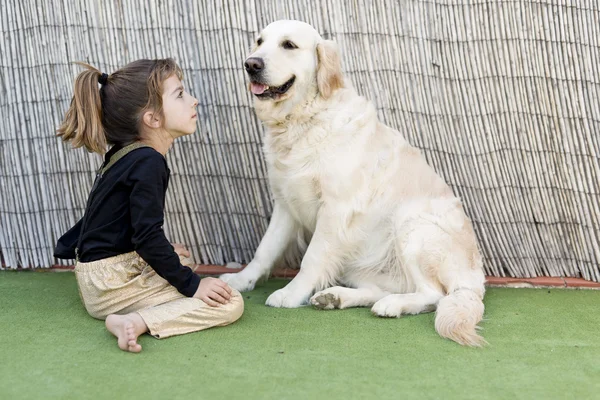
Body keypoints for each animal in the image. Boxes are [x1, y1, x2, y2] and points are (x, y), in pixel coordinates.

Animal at [220, 18, 488, 346]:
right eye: (259, 41)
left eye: (289, 45)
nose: (251, 64)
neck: (304, 120)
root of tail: (474, 280)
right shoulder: (285, 204)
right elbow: (264, 250)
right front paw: (241, 280)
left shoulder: (336, 208)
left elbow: (312, 257)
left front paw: (291, 293)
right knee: (382, 289)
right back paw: (336, 297)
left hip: (412, 225)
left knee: (433, 295)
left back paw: (391, 305)